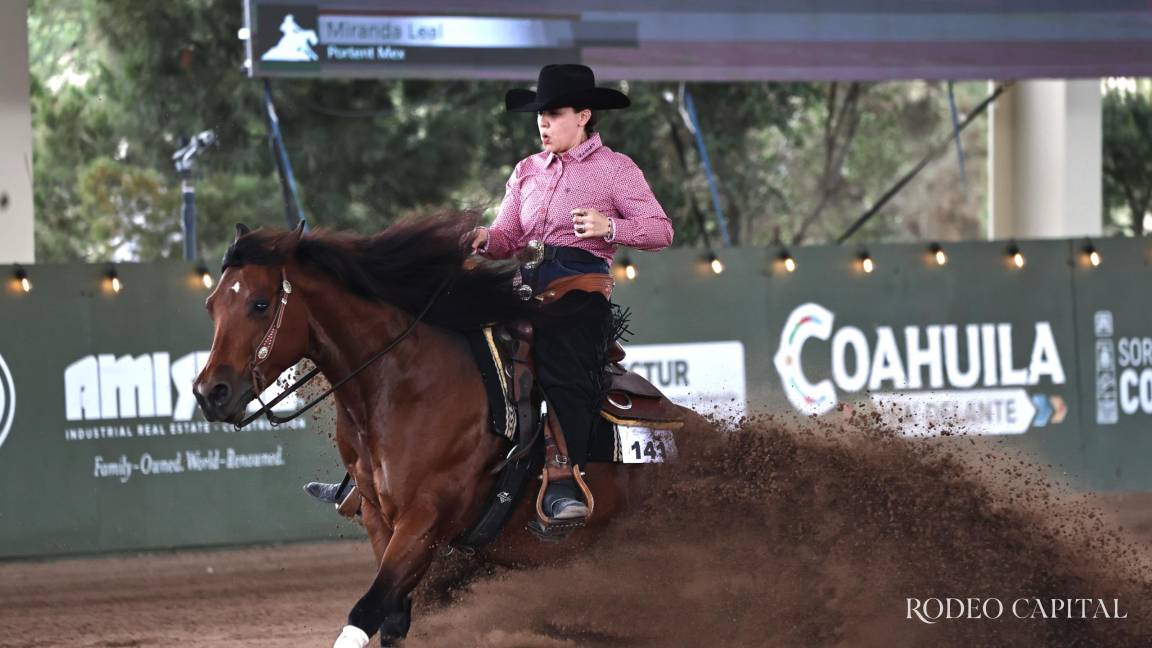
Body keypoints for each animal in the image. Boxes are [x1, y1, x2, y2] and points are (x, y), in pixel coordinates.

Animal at [193, 215, 707, 647]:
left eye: (260, 304)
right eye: (212, 305)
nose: (209, 392)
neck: (402, 386)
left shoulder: (426, 517)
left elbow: (367, 611)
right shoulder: (381, 520)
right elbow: (392, 620)